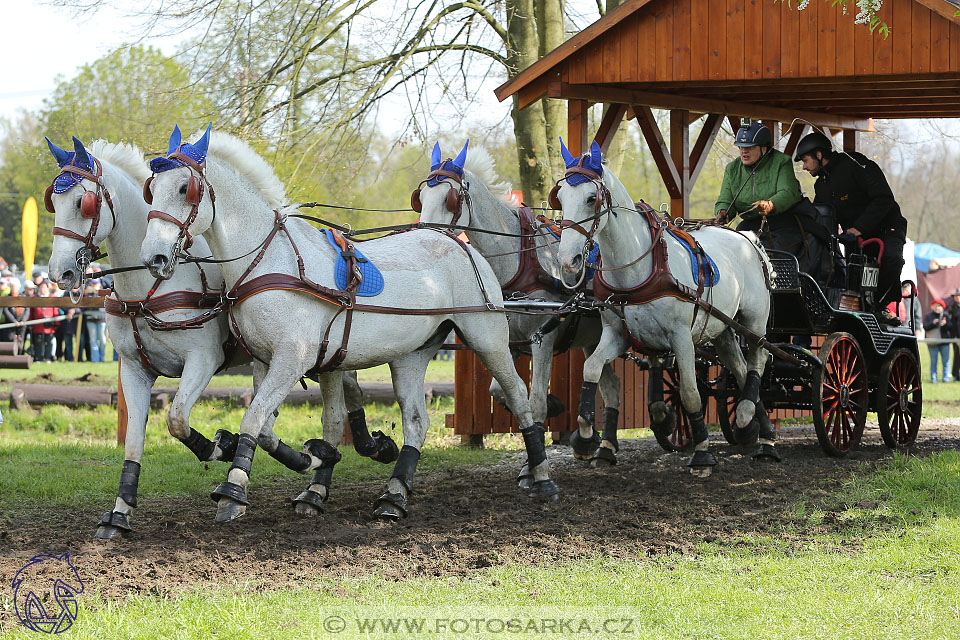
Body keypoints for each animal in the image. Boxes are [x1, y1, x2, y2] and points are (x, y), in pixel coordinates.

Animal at [43, 138, 396, 536]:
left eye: (82, 203)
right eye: (53, 202)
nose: (60, 273)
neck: (147, 290)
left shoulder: (203, 360)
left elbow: (177, 419)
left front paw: (221, 448)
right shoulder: (134, 369)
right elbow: (134, 441)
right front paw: (119, 513)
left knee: (338, 403)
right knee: (337, 397)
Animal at [135, 124, 556, 520]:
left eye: (186, 188)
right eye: (151, 189)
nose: (154, 257)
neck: (270, 260)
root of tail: (456, 241)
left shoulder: (293, 359)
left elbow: (254, 418)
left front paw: (233, 491)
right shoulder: (266, 361)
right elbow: (269, 427)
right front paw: (312, 458)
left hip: (488, 339)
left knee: (520, 397)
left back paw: (541, 477)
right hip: (412, 353)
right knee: (417, 421)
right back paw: (394, 495)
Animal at [416, 142, 628, 468]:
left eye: (449, 199)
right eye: (422, 197)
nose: (424, 237)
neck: (518, 260)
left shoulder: (543, 340)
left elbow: (536, 400)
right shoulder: (511, 342)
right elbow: (499, 390)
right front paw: (556, 406)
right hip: (594, 340)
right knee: (611, 386)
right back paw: (603, 446)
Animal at [552, 140, 776, 472]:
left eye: (592, 198)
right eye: (561, 198)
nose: (569, 260)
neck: (638, 267)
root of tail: (749, 238)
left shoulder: (681, 338)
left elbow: (690, 393)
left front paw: (702, 452)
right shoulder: (616, 334)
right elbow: (591, 368)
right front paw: (586, 438)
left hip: (753, 320)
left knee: (758, 359)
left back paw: (752, 420)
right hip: (722, 327)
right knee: (739, 368)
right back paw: (759, 431)